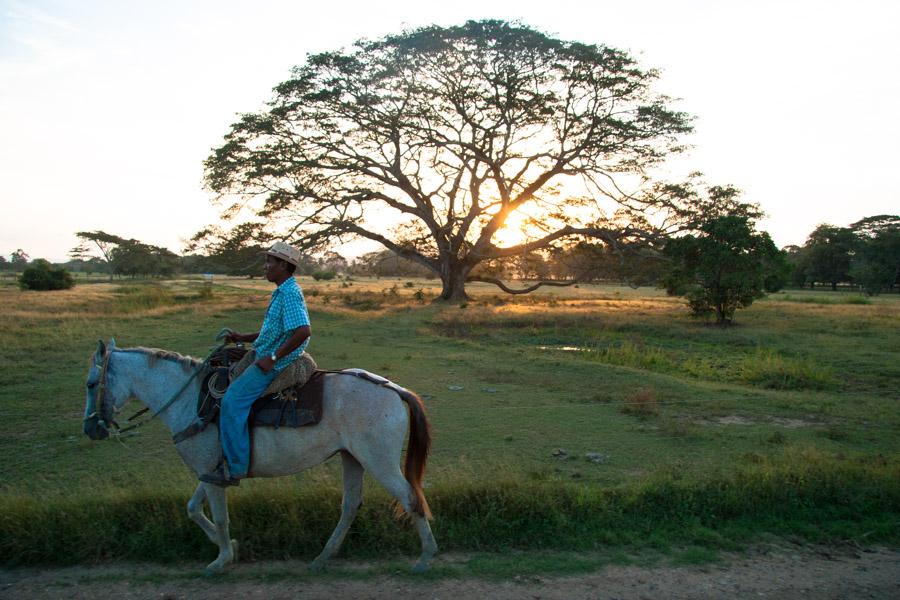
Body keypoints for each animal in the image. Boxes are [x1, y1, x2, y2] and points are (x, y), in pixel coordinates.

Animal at [82, 340, 438, 576]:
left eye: (90, 384)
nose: (90, 428)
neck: (189, 401)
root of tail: (393, 389)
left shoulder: (210, 474)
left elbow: (220, 517)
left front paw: (221, 559)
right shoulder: (210, 470)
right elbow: (193, 509)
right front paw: (230, 546)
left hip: (379, 461)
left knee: (409, 497)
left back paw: (426, 557)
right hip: (352, 457)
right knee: (351, 505)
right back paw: (322, 557)